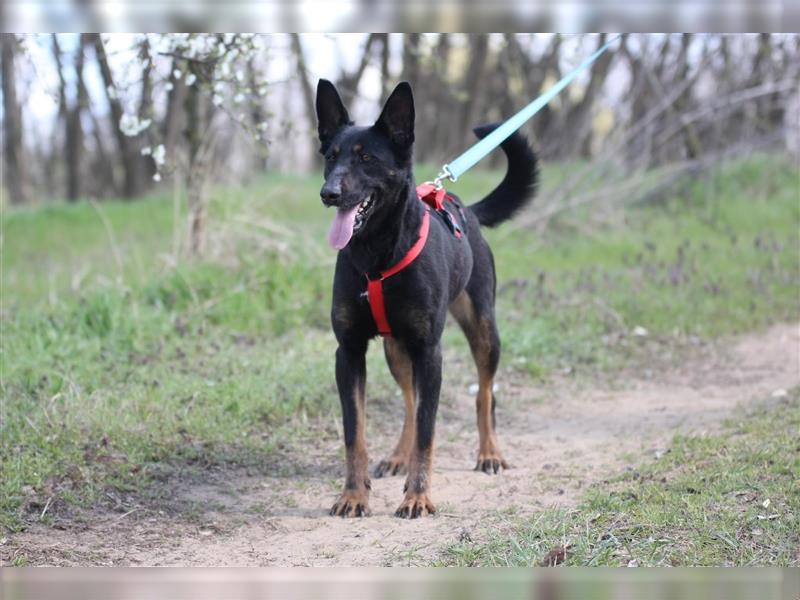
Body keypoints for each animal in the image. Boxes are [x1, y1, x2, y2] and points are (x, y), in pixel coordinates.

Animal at [318, 78, 536, 516]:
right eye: (330, 157)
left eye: (366, 158)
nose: (328, 193)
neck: (377, 254)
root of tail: (464, 208)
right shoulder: (349, 352)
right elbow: (355, 432)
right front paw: (353, 494)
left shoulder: (430, 351)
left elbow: (428, 431)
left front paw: (418, 496)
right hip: (396, 349)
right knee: (409, 401)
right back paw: (398, 456)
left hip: (483, 330)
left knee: (484, 394)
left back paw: (489, 452)